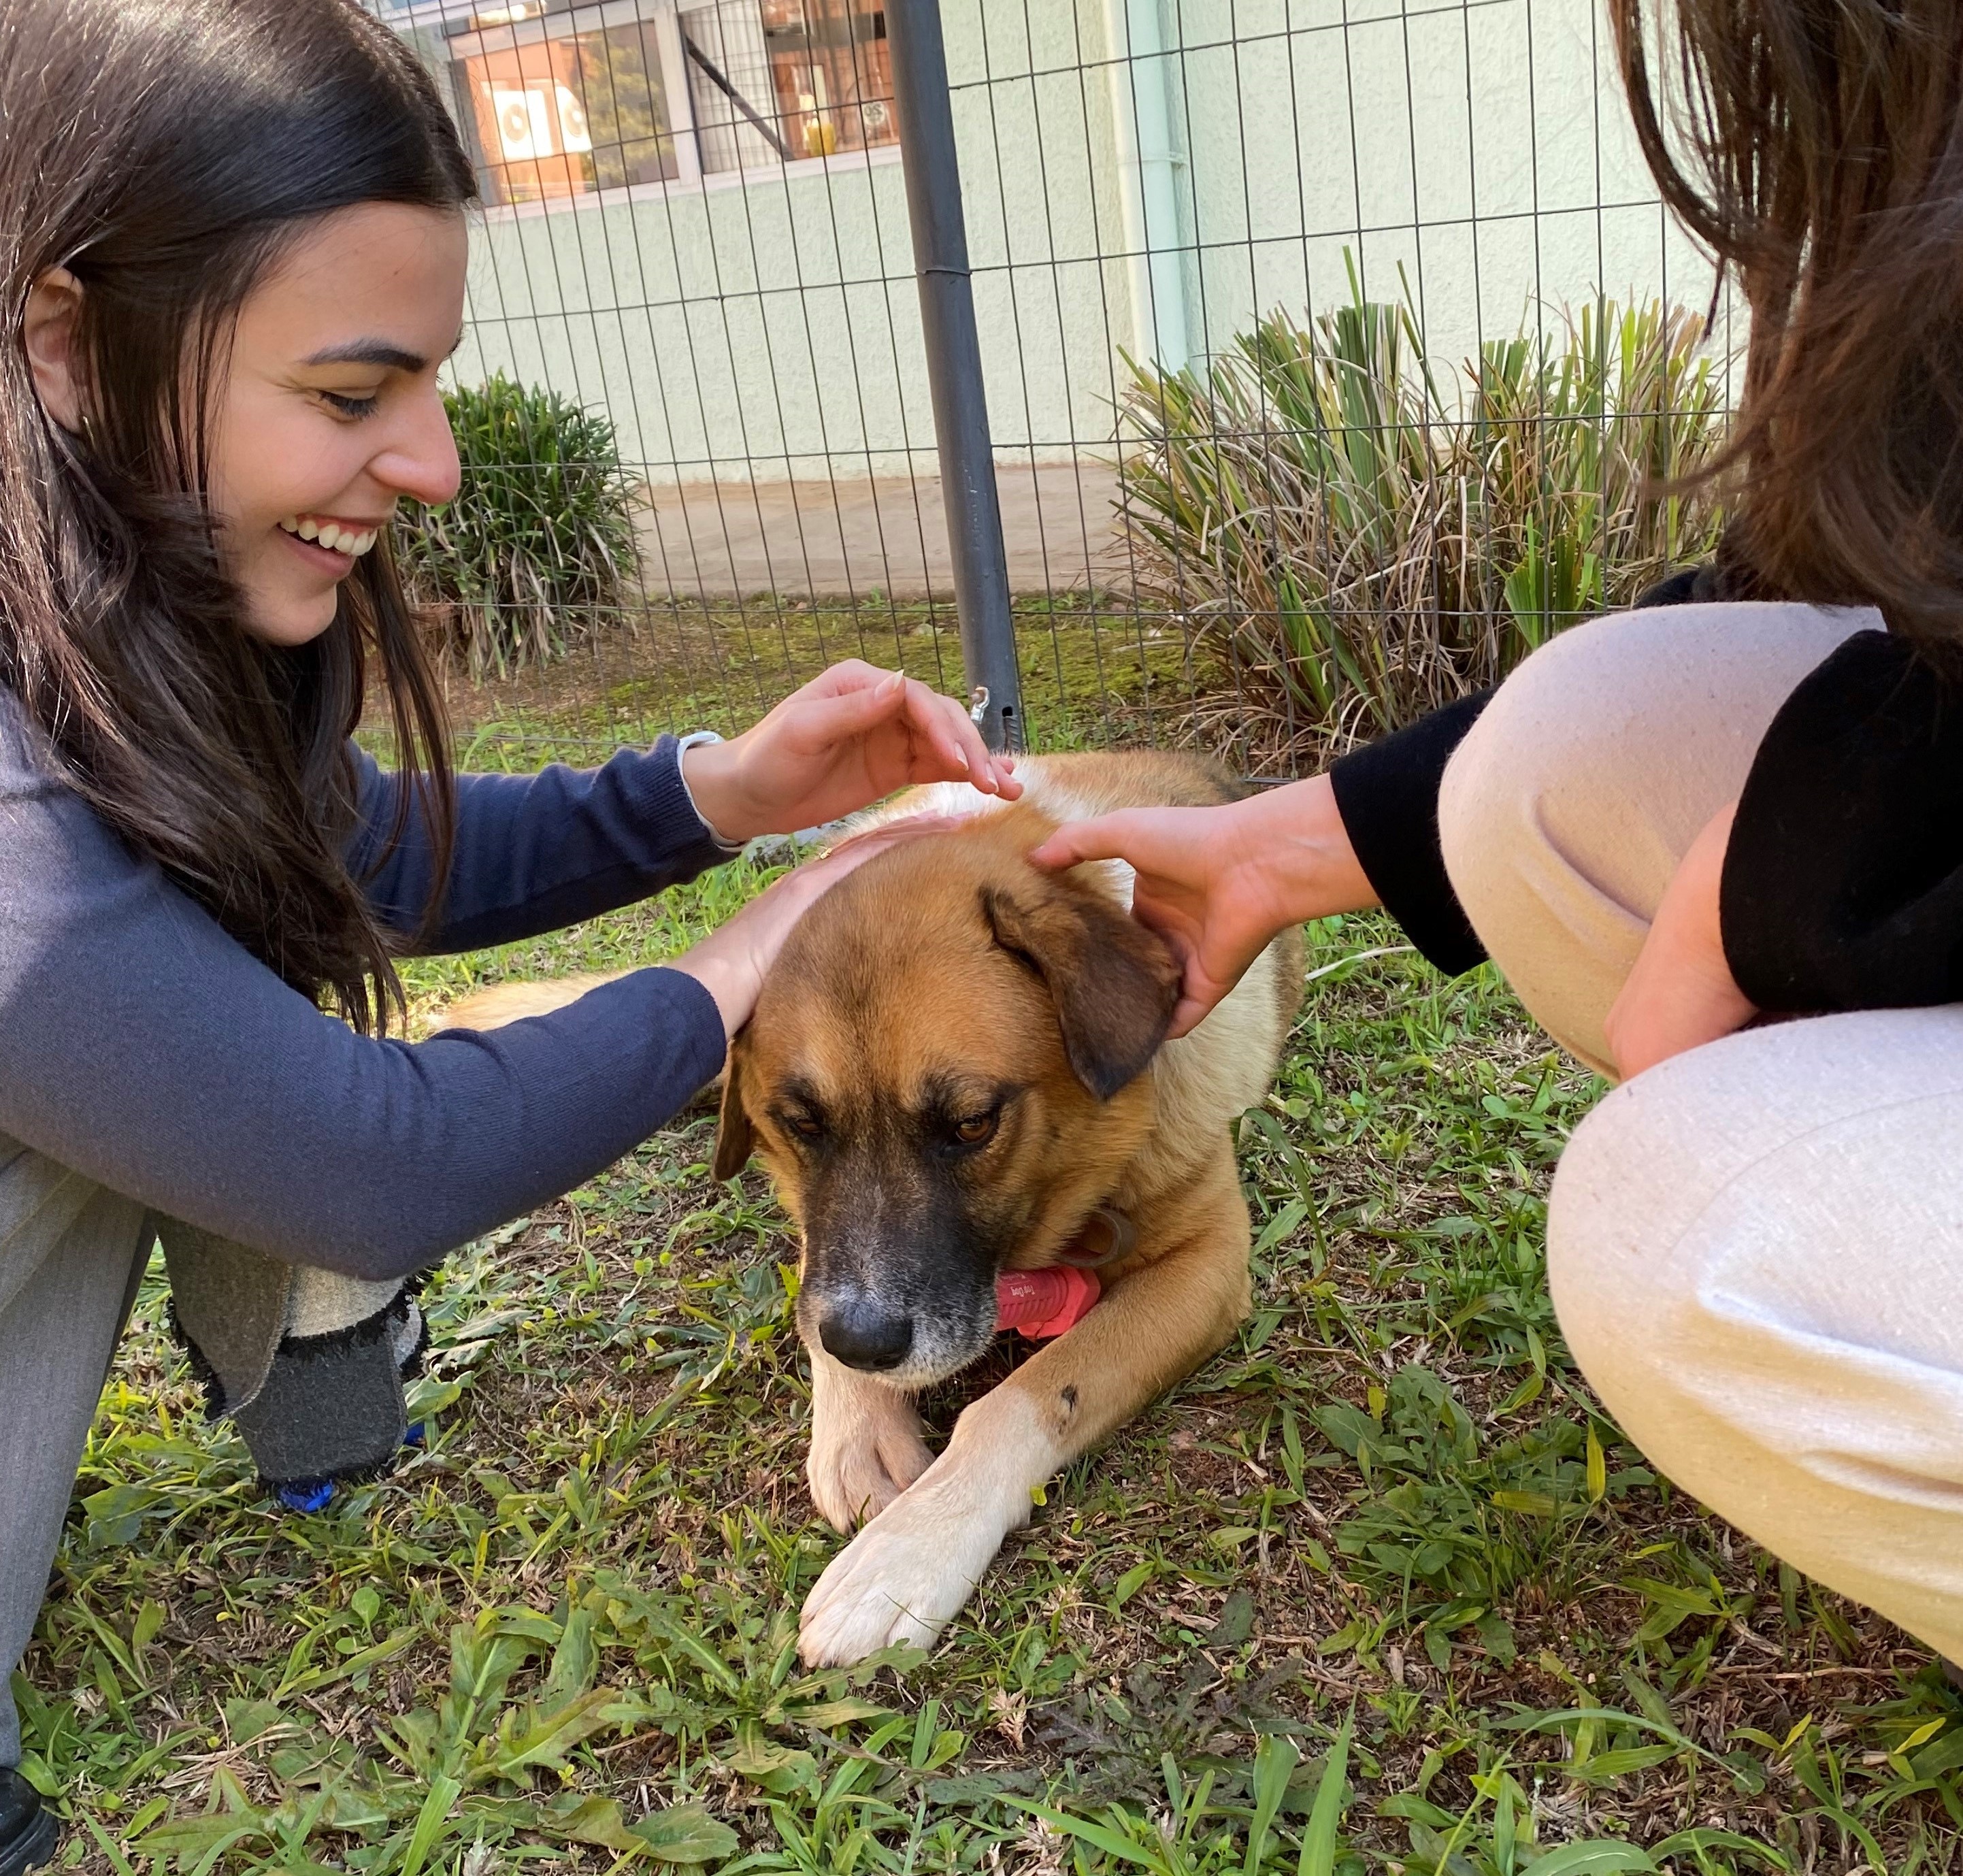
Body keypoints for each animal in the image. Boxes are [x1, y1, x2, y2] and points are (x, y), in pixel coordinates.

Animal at [445, 753, 1303, 1664]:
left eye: (971, 1122)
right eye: (799, 1124)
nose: (863, 1346)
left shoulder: (1207, 1265)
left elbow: (1031, 1394)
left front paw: (908, 1551)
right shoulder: (815, 1234)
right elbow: (811, 1297)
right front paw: (858, 1431)